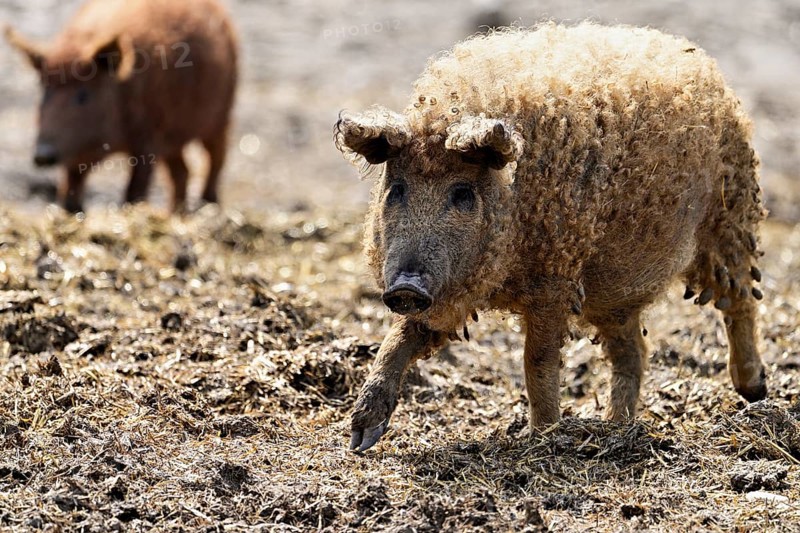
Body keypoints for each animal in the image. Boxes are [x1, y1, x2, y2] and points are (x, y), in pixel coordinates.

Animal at [5, 0, 238, 212]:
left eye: (83, 96)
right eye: (45, 93)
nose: (42, 155)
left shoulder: (148, 136)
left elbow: (135, 188)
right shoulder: (79, 149)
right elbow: (72, 183)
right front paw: (72, 211)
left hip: (222, 113)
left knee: (217, 157)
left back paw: (208, 206)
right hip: (174, 139)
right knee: (182, 171)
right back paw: (175, 214)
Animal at [335, 23, 768, 452]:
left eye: (462, 193)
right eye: (396, 189)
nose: (405, 287)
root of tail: (702, 64)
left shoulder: (556, 277)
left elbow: (538, 358)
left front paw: (543, 435)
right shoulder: (448, 289)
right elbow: (400, 336)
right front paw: (360, 438)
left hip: (731, 219)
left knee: (741, 301)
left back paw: (754, 391)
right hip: (612, 294)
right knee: (634, 351)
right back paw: (615, 426)